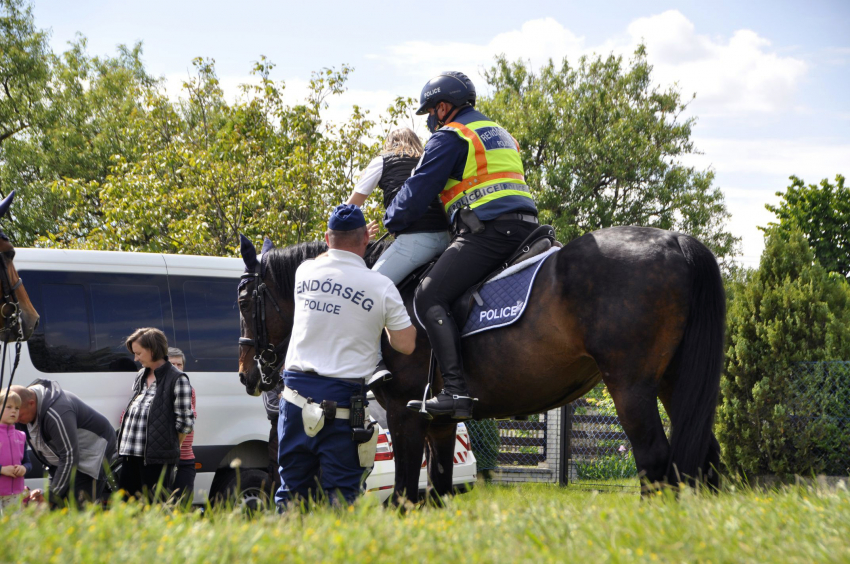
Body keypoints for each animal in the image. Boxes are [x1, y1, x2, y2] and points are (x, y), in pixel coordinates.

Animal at [237, 226, 724, 502]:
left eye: (243, 300)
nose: (248, 374)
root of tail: (676, 241)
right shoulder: (438, 420)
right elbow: (436, 489)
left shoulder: (403, 413)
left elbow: (404, 494)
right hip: (672, 385)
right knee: (704, 457)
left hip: (631, 387)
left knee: (656, 459)